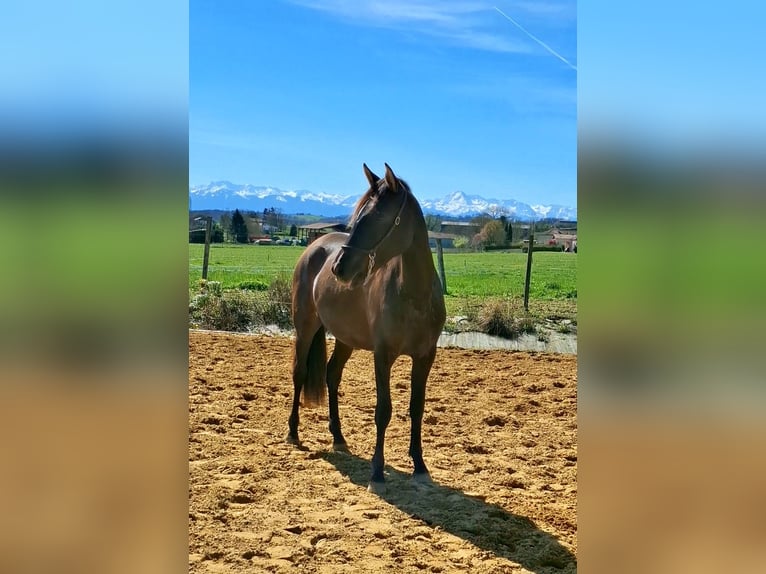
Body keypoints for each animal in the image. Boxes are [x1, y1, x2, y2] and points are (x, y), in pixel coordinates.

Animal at [288, 163, 446, 493]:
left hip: (345, 338)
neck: (414, 295)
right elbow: (383, 411)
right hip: (305, 326)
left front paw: (420, 467)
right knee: (300, 373)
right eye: (358, 216)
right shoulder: (383, 355)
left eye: (379, 217)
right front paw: (377, 473)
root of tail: (314, 247)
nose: (339, 267)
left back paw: (338, 437)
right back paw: (293, 433)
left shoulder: (426, 356)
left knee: (331, 375)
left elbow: (417, 407)